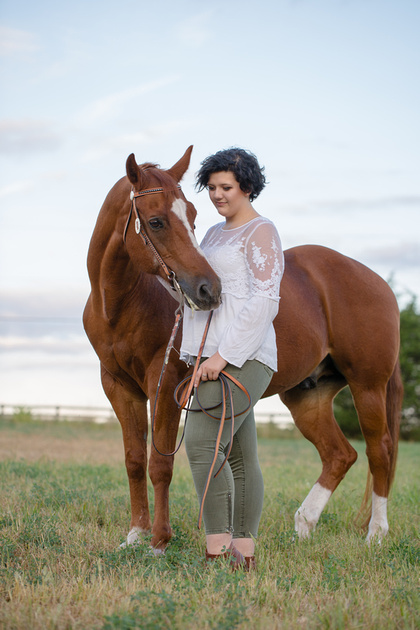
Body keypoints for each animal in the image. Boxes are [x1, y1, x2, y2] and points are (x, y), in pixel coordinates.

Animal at [83, 148, 402, 552]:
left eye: (193, 216)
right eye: (155, 221)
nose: (207, 289)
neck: (123, 302)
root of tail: (377, 282)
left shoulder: (165, 383)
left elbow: (160, 464)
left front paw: (158, 540)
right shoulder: (118, 387)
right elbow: (135, 460)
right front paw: (136, 535)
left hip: (368, 387)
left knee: (380, 451)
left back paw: (376, 533)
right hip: (308, 397)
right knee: (339, 454)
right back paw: (303, 527)